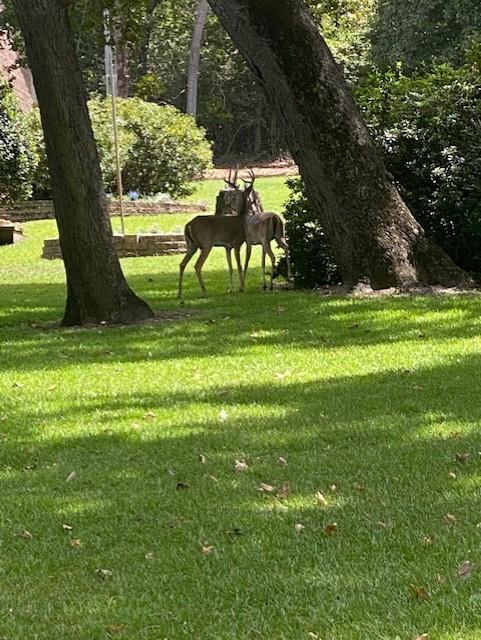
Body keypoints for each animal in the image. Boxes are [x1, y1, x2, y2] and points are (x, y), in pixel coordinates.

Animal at [176, 169, 246, 302]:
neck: (241, 220)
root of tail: (189, 224)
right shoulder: (236, 243)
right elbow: (239, 265)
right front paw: (240, 288)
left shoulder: (227, 246)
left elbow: (230, 266)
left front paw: (231, 289)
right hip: (206, 244)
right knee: (197, 265)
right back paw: (204, 292)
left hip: (191, 245)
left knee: (182, 264)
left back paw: (179, 294)